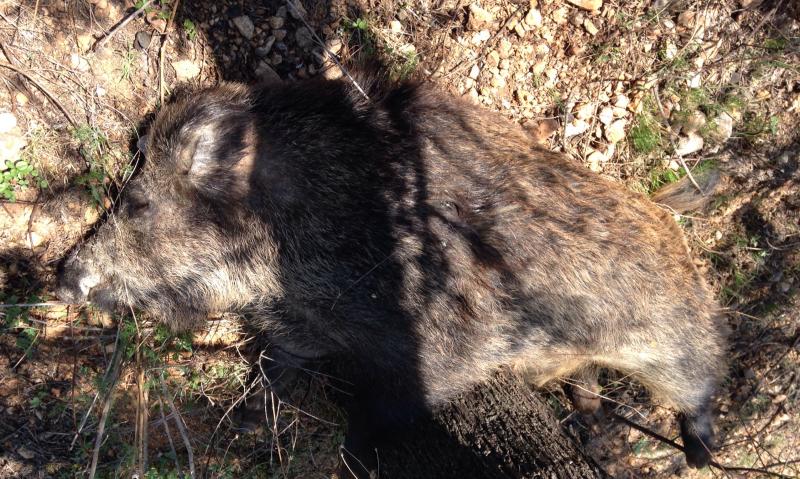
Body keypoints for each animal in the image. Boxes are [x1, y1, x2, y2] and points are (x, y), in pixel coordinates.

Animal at [57, 73, 726, 474]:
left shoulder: (441, 347)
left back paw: (699, 452)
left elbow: (386, 406)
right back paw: (590, 419)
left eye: (138, 203)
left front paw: (353, 455)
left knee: (701, 374)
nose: (63, 276)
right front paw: (248, 421)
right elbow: (280, 358)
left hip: (670, 336)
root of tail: (670, 218)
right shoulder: (307, 325)